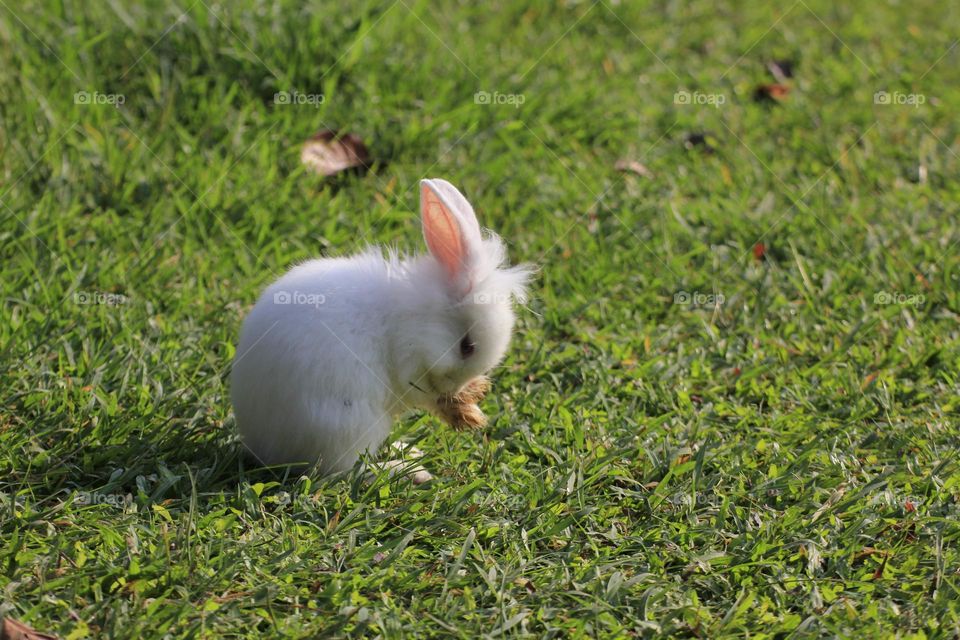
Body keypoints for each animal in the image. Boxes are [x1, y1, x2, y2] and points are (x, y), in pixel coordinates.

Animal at [231, 178, 532, 476]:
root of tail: (265, 449)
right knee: (346, 472)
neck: (422, 319)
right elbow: (427, 396)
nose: (457, 387)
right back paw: (406, 470)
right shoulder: (410, 366)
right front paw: (465, 413)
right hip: (351, 428)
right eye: (466, 347)